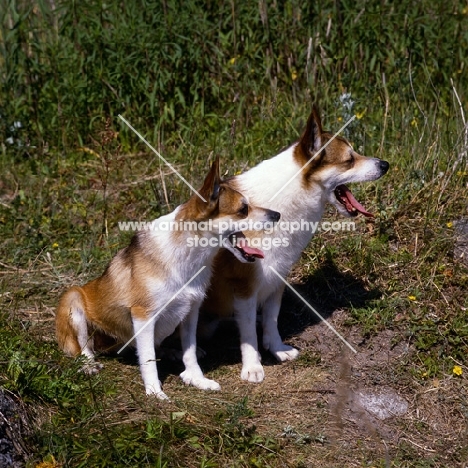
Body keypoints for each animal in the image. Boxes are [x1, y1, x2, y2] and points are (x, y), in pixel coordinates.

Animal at [56, 157, 280, 398]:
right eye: (243, 209)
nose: (277, 215)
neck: (187, 256)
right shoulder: (143, 316)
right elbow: (148, 360)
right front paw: (154, 392)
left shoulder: (191, 312)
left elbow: (189, 352)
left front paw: (197, 379)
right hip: (74, 301)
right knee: (85, 350)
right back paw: (89, 365)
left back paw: (171, 351)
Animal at [181, 104, 390, 382]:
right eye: (349, 160)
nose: (385, 164)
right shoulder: (245, 288)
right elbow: (249, 335)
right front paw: (252, 366)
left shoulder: (276, 279)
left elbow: (272, 319)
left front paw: (276, 348)